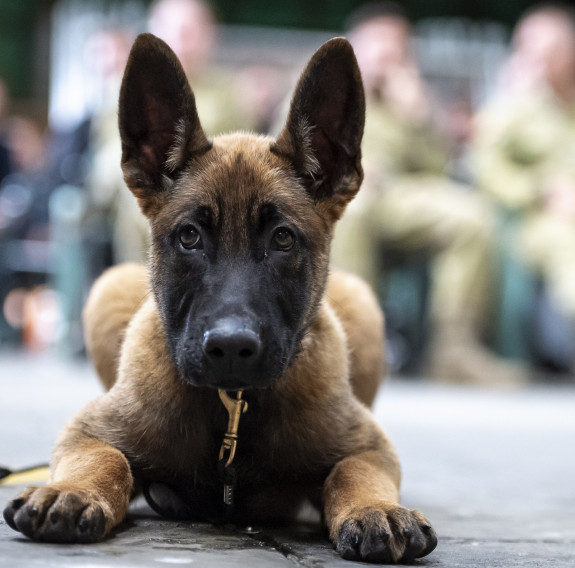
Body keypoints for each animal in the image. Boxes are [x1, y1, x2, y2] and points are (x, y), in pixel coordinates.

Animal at [3, 33, 436, 560]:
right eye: (189, 236)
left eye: (283, 239)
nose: (230, 347)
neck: (232, 407)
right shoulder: (88, 432)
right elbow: (108, 460)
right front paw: (71, 489)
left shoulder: (369, 445)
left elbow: (352, 471)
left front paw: (376, 507)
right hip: (109, 288)